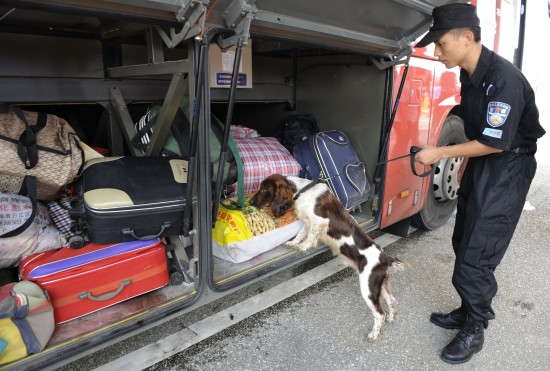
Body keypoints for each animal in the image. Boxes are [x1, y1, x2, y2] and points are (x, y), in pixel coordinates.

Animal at [252, 174, 408, 342]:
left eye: (264, 189)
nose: (251, 202)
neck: (301, 190)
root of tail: (385, 258)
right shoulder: (306, 222)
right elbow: (301, 234)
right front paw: (293, 243)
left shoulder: (318, 221)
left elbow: (309, 236)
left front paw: (303, 247)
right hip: (380, 285)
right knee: (392, 300)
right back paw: (391, 318)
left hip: (368, 288)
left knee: (379, 313)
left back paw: (374, 334)